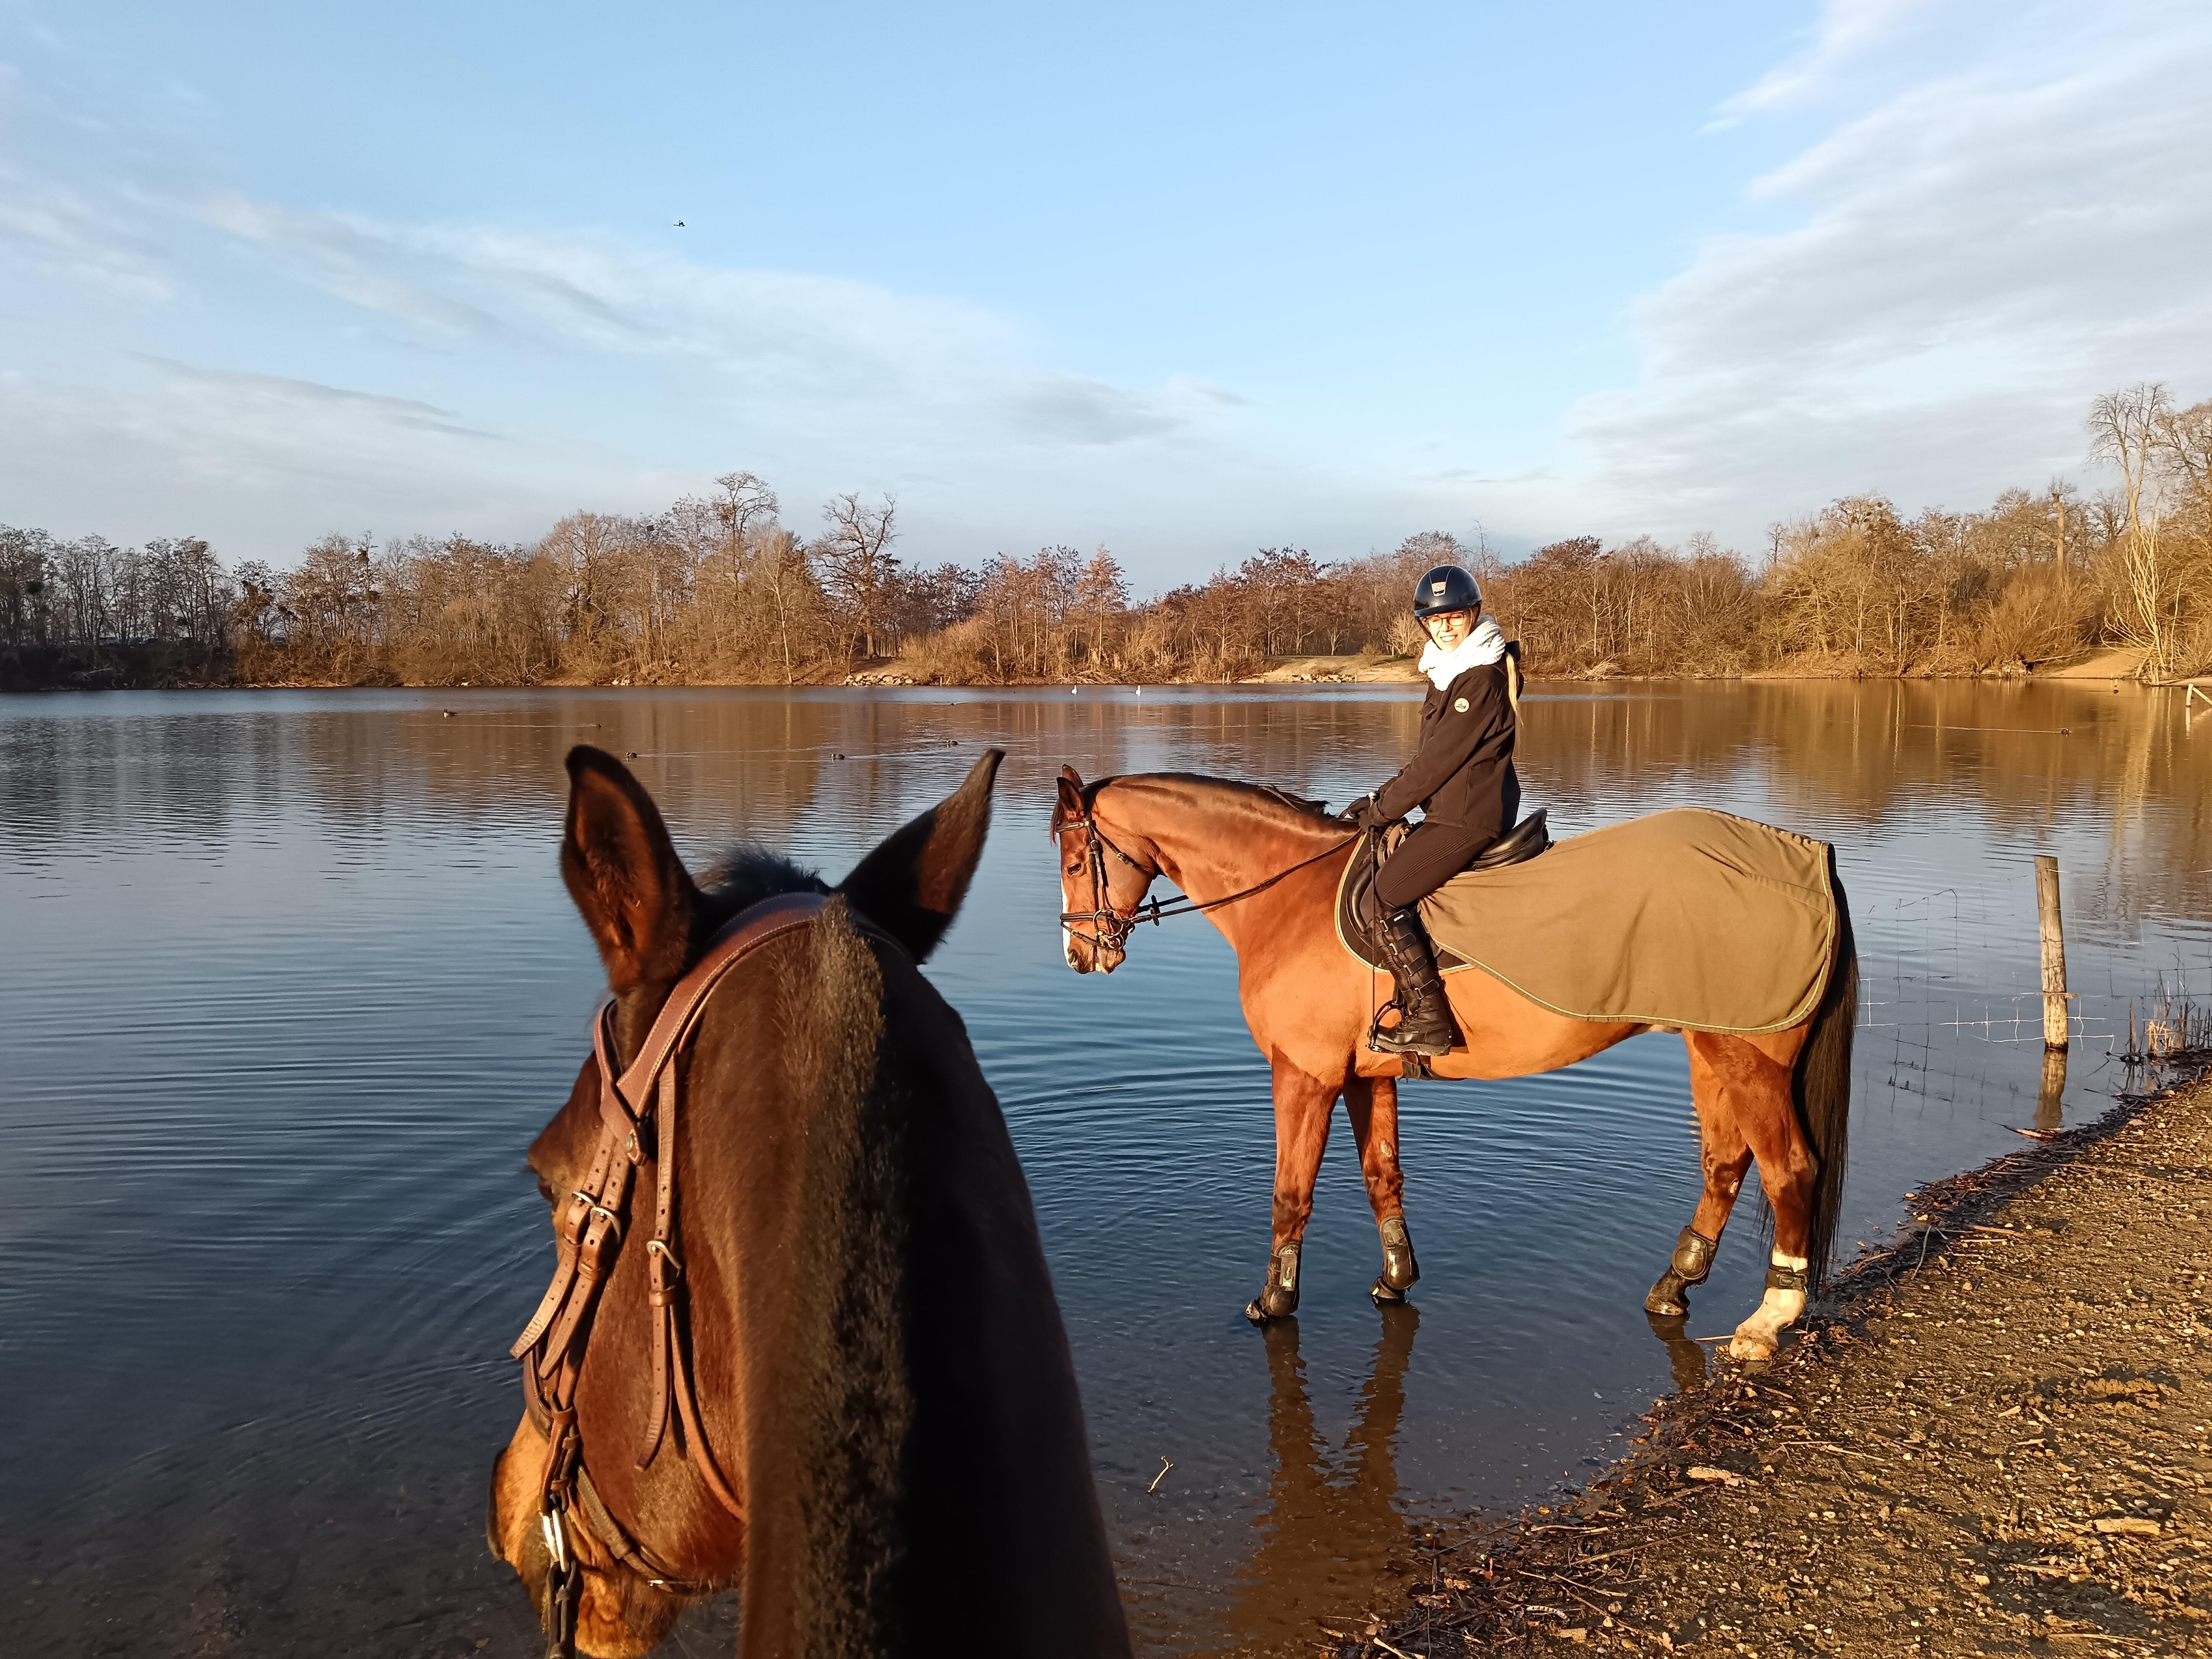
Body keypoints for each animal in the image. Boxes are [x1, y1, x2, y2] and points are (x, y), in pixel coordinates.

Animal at [1050, 768, 1856, 1363]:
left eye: (1073, 861)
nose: (1080, 953)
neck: (1289, 893)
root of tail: (1809, 856)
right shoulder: (1364, 1075)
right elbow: (1381, 1175)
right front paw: (1393, 1279)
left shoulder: (1304, 1074)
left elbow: (1290, 1192)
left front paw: (1274, 1301)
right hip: (1711, 1044)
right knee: (1725, 1162)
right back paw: (1675, 1283)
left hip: (1747, 1057)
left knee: (1789, 1168)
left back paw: (1765, 1319)